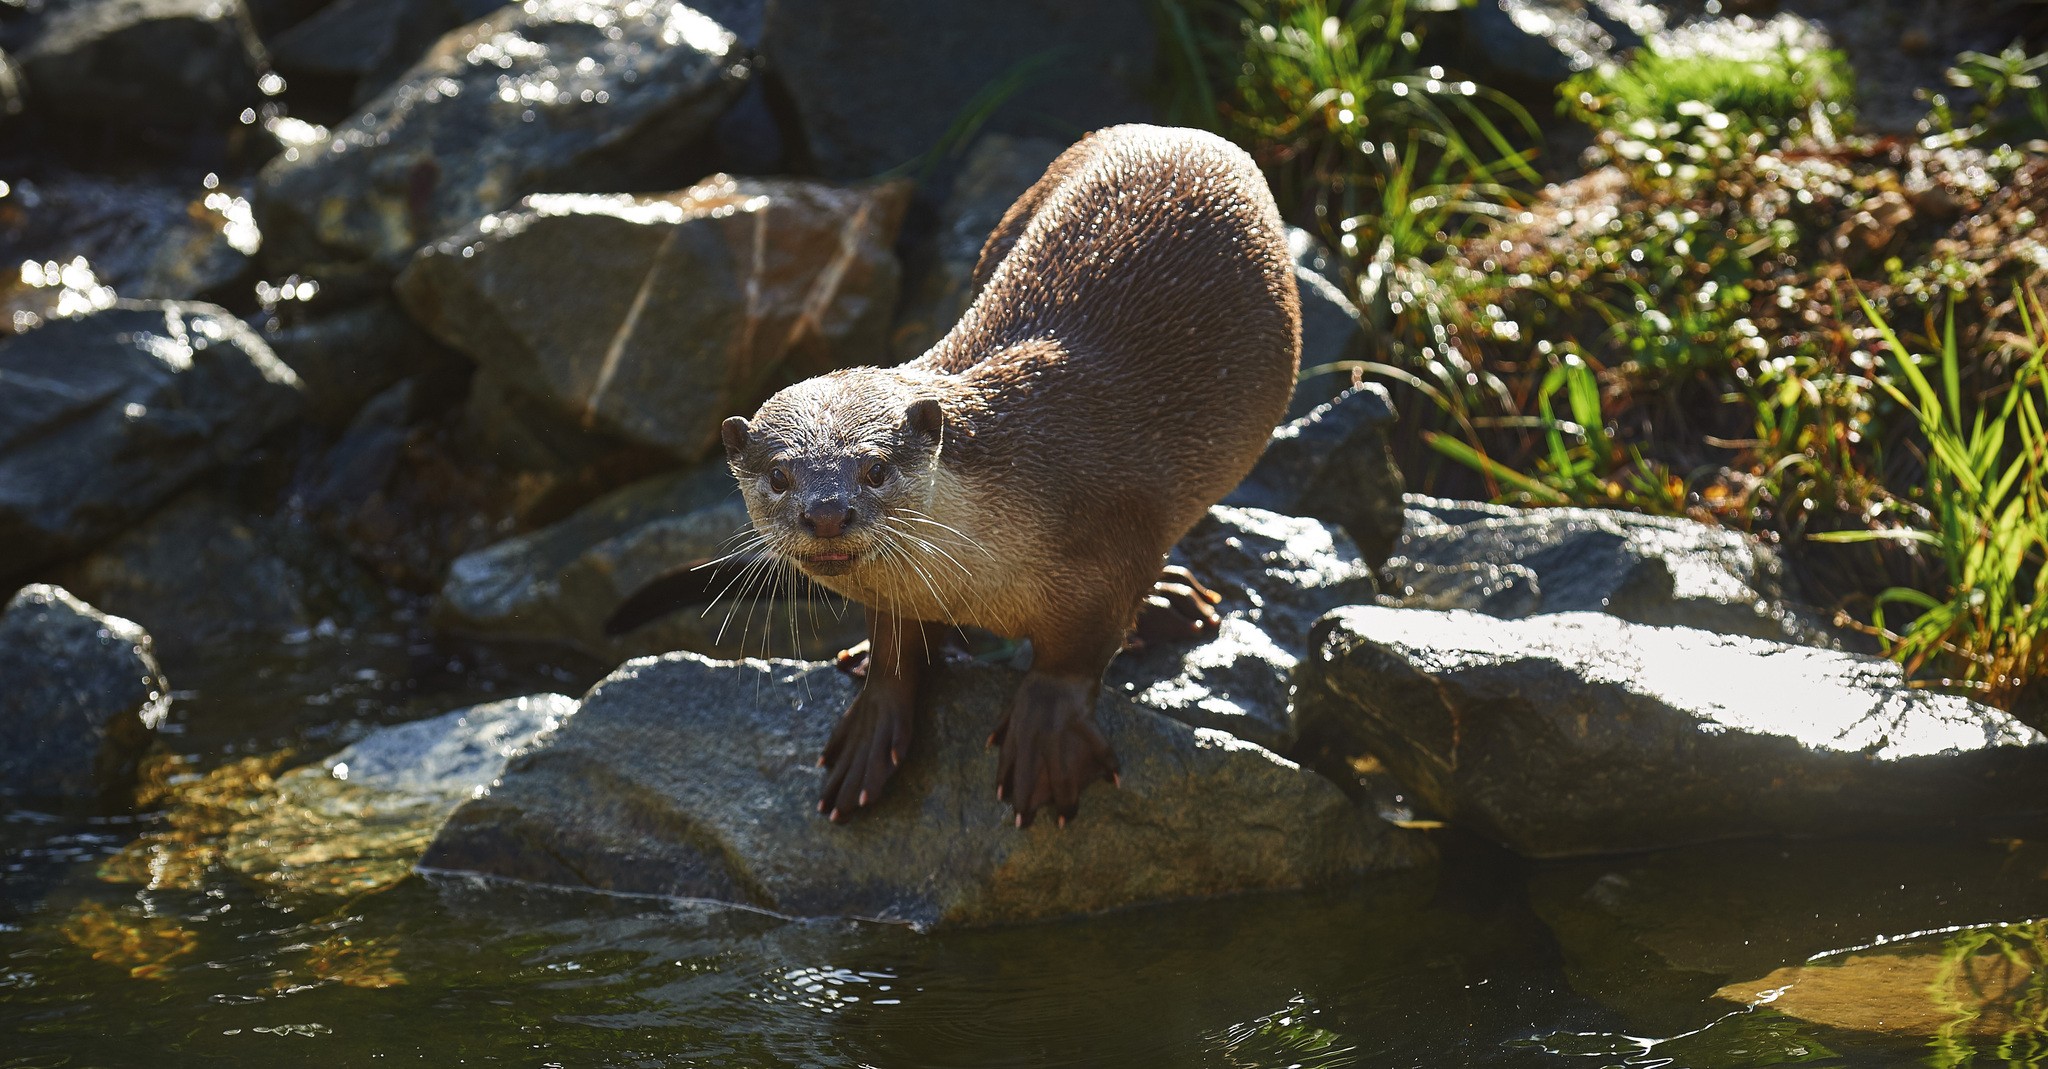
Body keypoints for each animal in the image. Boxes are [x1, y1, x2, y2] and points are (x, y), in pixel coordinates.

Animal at [720, 122, 1294, 823]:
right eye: (779, 477)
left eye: (876, 468)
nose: (827, 512)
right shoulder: (903, 597)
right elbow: (895, 646)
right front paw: (873, 722)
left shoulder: (1108, 551)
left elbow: (1073, 659)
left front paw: (1046, 736)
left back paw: (1166, 599)